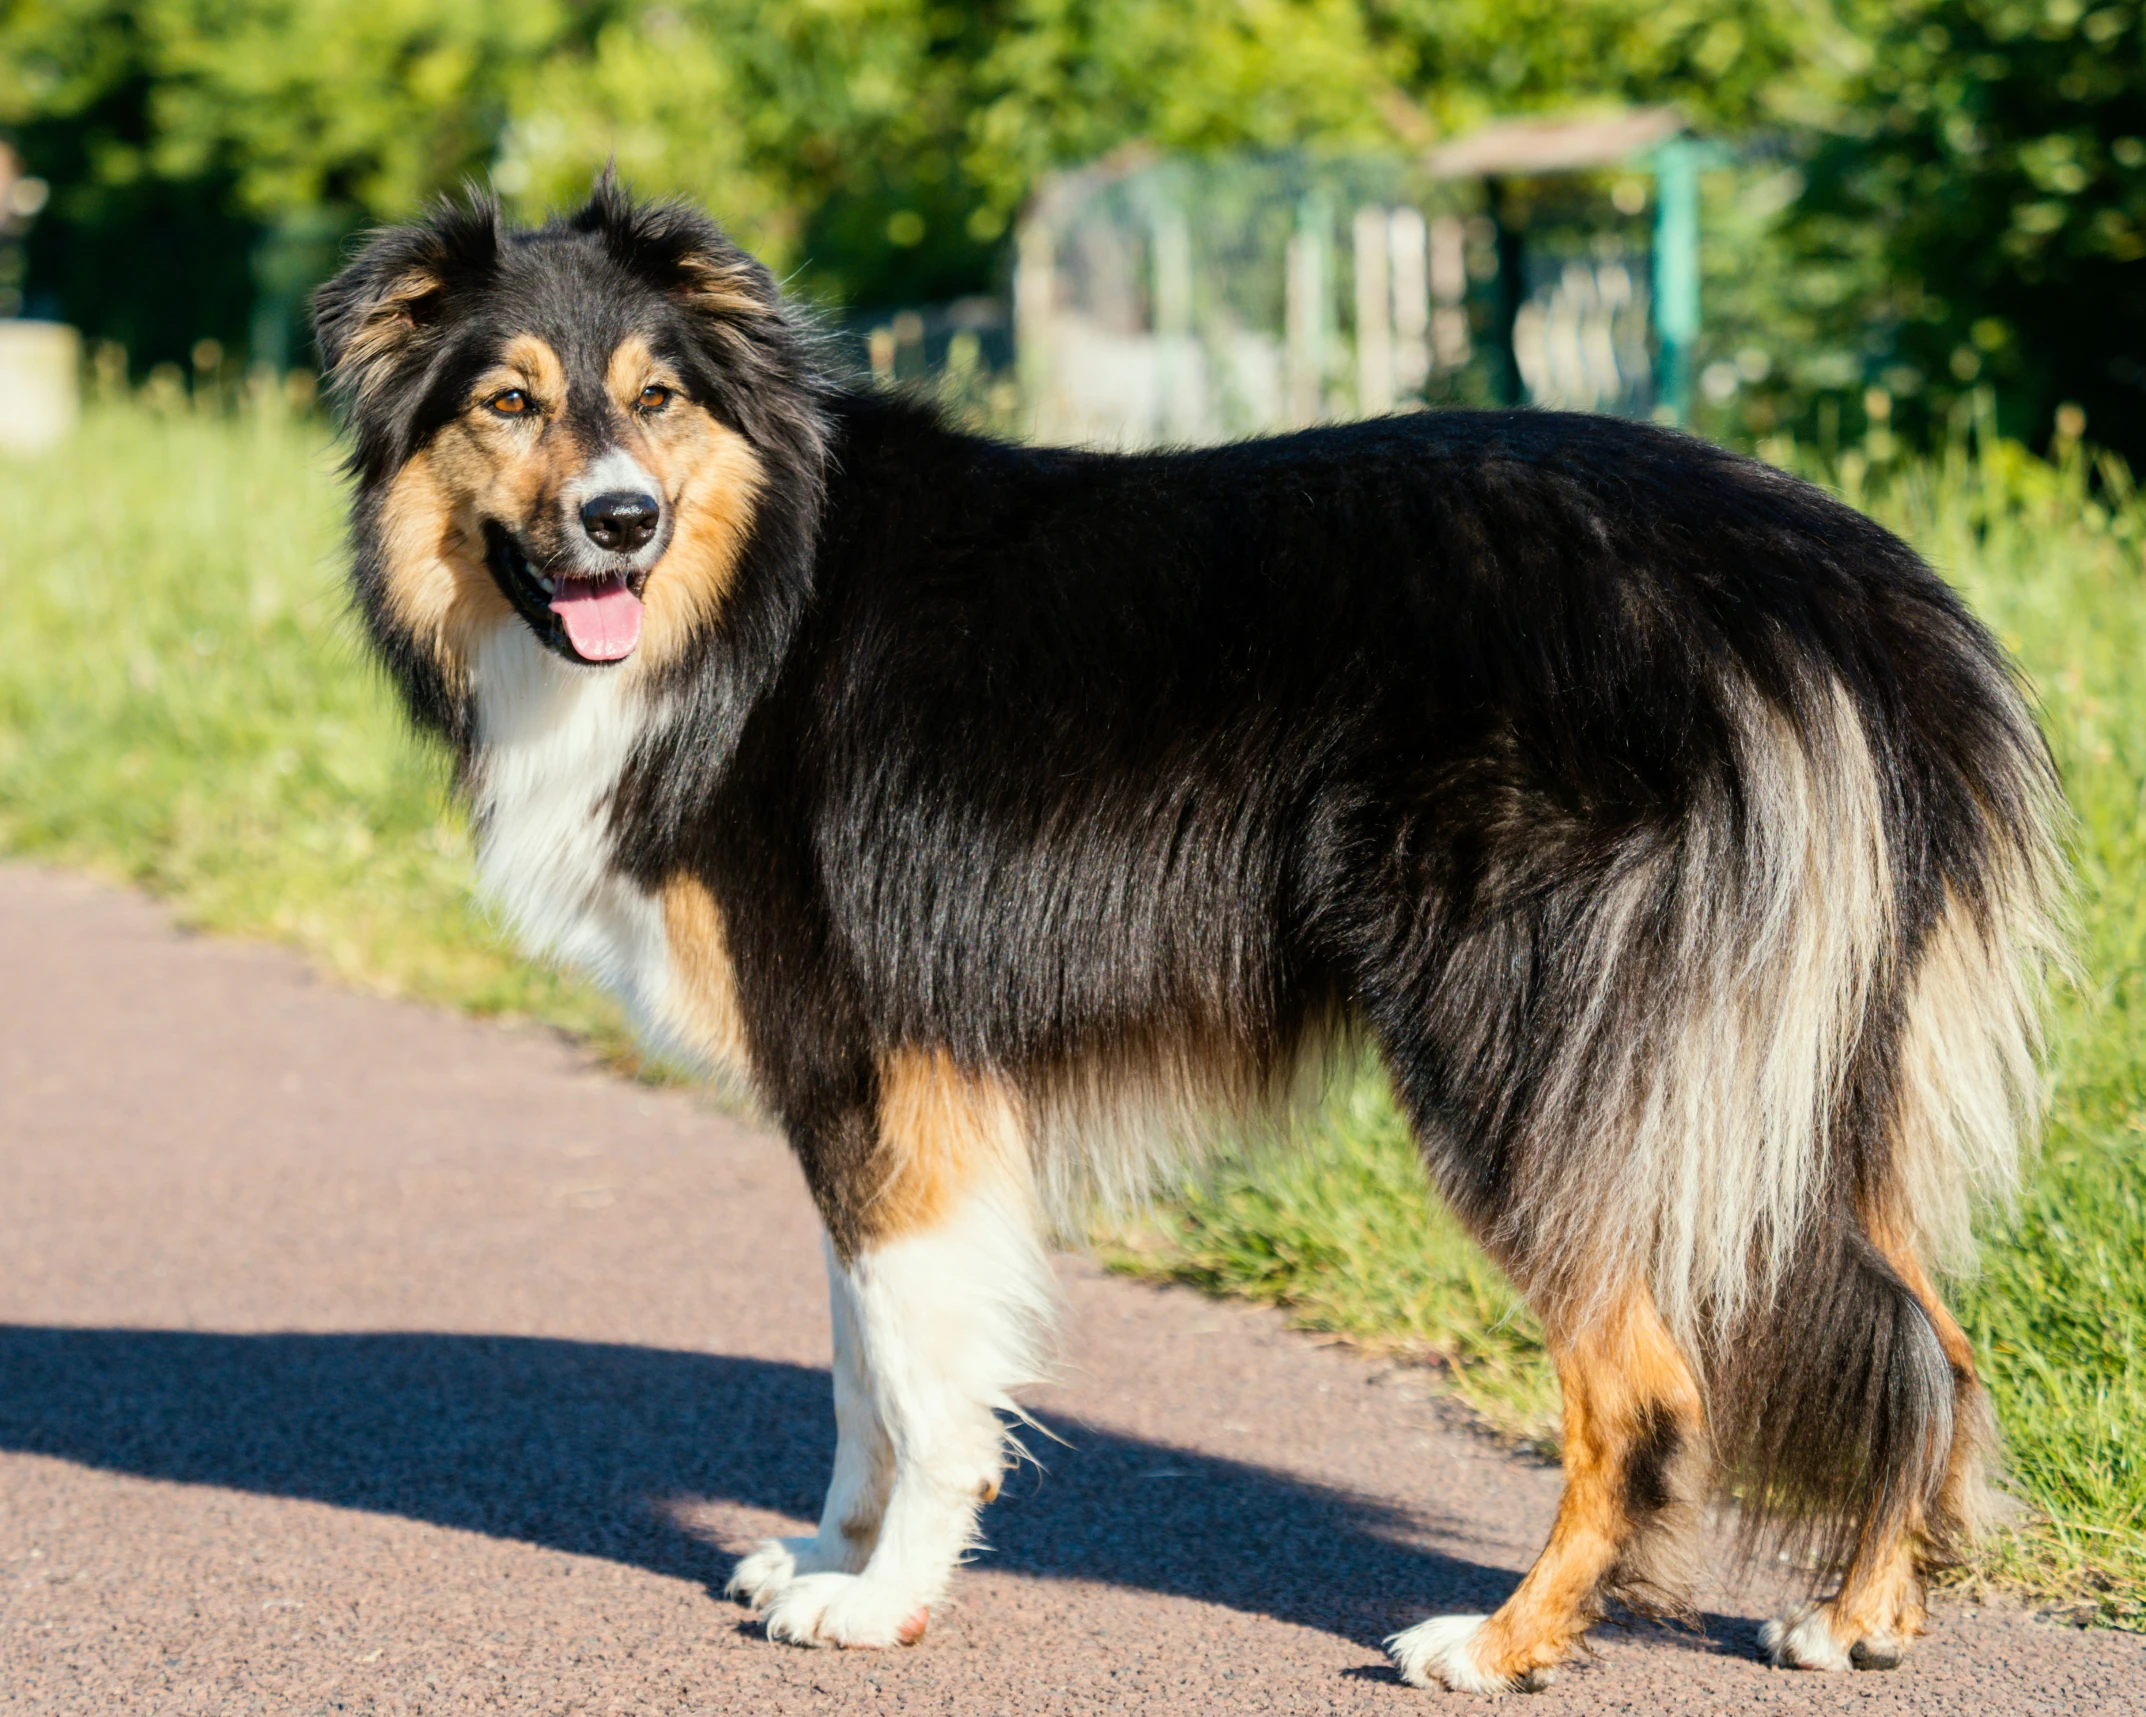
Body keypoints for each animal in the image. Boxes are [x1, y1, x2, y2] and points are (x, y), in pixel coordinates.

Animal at [313, 184, 2060, 1691]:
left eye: (658, 397)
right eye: (508, 403)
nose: (618, 522)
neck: (748, 594)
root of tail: (1828, 586)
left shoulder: (882, 1071)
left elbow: (915, 1381)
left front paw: (880, 1600)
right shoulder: (857, 1096)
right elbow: (858, 1367)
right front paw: (826, 1553)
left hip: (1539, 1059)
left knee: (1644, 1385)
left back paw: (1501, 1642)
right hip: (1805, 1071)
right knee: (1924, 1334)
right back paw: (1853, 1613)